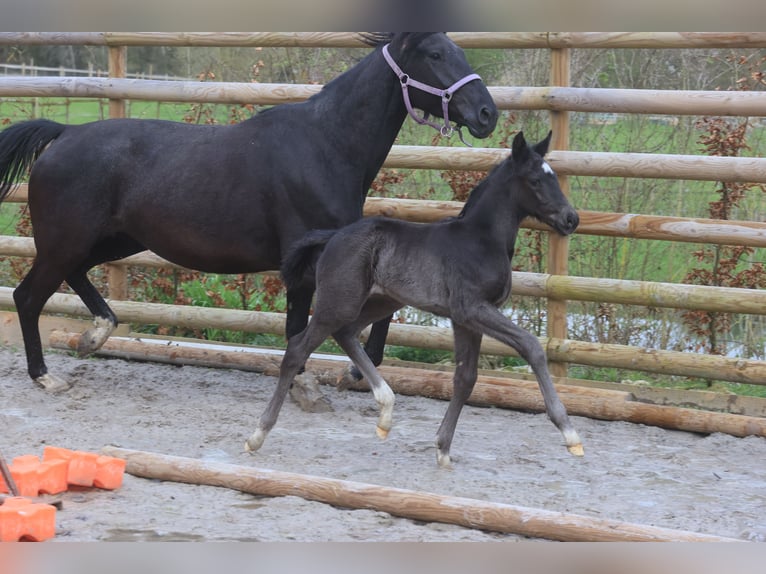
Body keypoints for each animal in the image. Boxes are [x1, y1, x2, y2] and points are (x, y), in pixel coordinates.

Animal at [0, 32, 498, 392]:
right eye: (436, 54)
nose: (487, 114)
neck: (327, 144)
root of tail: (63, 133)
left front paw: (352, 371)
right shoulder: (306, 260)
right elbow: (301, 326)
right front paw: (310, 385)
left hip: (113, 240)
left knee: (74, 276)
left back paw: (94, 337)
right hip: (66, 241)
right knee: (27, 297)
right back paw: (46, 376)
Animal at [249, 132, 584, 468]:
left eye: (554, 177)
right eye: (535, 180)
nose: (571, 219)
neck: (481, 240)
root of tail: (332, 236)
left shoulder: (465, 319)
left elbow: (466, 378)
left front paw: (443, 449)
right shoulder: (472, 309)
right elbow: (531, 346)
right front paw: (570, 434)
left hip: (380, 301)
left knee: (345, 333)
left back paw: (385, 411)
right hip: (339, 302)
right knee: (298, 348)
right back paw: (258, 434)